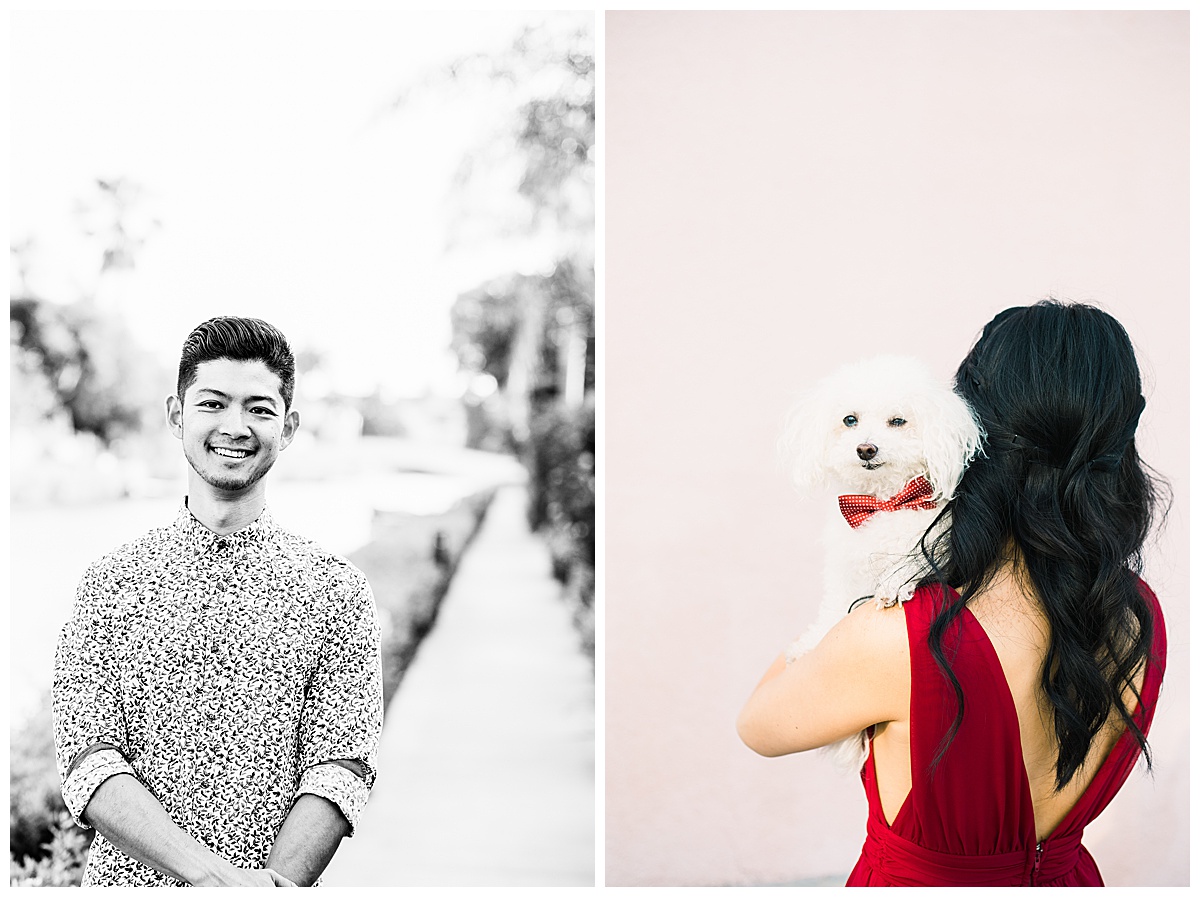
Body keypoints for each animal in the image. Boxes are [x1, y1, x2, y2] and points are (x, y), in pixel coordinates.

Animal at [777, 357, 984, 772]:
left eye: (898, 421)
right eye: (850, 420)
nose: (866, 449)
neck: (885, 503)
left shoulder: (938, 543)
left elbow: (915, 564)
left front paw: (896, 583)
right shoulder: (844, 575)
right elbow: (831, 612)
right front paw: (809, 644)